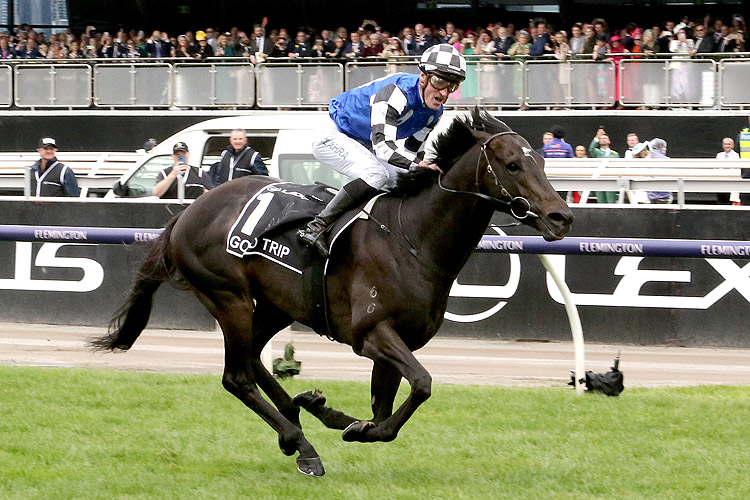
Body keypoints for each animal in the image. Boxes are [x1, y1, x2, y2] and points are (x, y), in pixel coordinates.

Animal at [92, 109, 576, 476]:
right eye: (512, 165)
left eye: (542, 163)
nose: (561, 217)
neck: (412, 238)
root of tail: (188, 211)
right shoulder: (372, 332)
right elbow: (421, 385)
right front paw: (353, 427)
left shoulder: (398, 339)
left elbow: (385, 412)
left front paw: (346, 420)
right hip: (228, 297)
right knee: (237, 377)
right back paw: (300, 444)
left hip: (276, 305)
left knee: (254, 360)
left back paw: (302, 414)